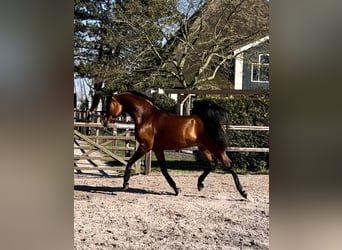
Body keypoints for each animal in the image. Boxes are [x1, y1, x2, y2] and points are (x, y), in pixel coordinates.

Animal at [100, 91, 247, 198]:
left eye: (108, 104)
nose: (104, 122)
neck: (147, 117)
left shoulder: (145, 146)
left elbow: (130, 161)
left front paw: (125, 184)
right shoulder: (157, 149)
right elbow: (164, 170)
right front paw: (177, 189)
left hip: (214, 147)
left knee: (229, 165)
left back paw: (243, 192)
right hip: (203, 147)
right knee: (212, 164)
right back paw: (200, 184)